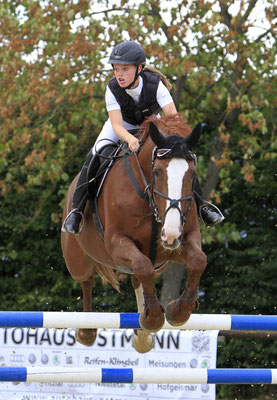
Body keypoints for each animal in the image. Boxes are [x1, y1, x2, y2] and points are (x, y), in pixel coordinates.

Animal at [61, 115, 206, 354]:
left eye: (192, 175)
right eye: (157, 172)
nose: (170, 234)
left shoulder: (181, 240)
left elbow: (198, 260)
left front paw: (177, 312)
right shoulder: (116, 243)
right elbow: (143, 266)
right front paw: (154, 318)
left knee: (138, 278)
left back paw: (143, 336)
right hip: (77, 260)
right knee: (87, 279)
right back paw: (87, 332)